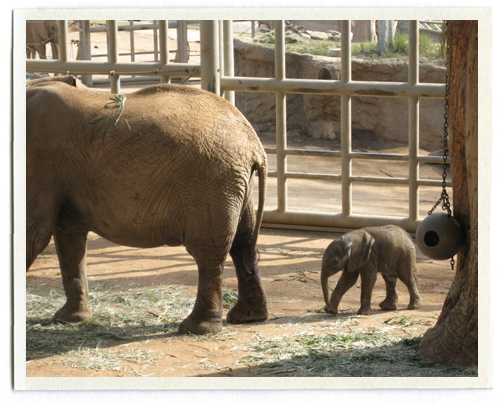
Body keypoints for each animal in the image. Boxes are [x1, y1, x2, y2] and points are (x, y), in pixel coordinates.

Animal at [26, 76, 270, 334]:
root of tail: (254, 145)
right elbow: (68, 238)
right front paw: (69, 320)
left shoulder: (39, 162)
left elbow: (34, 236)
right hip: (236, 183)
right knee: (243, 245)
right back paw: (247, 317)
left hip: (212, 181)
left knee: (208, 253)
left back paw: (195, 328)